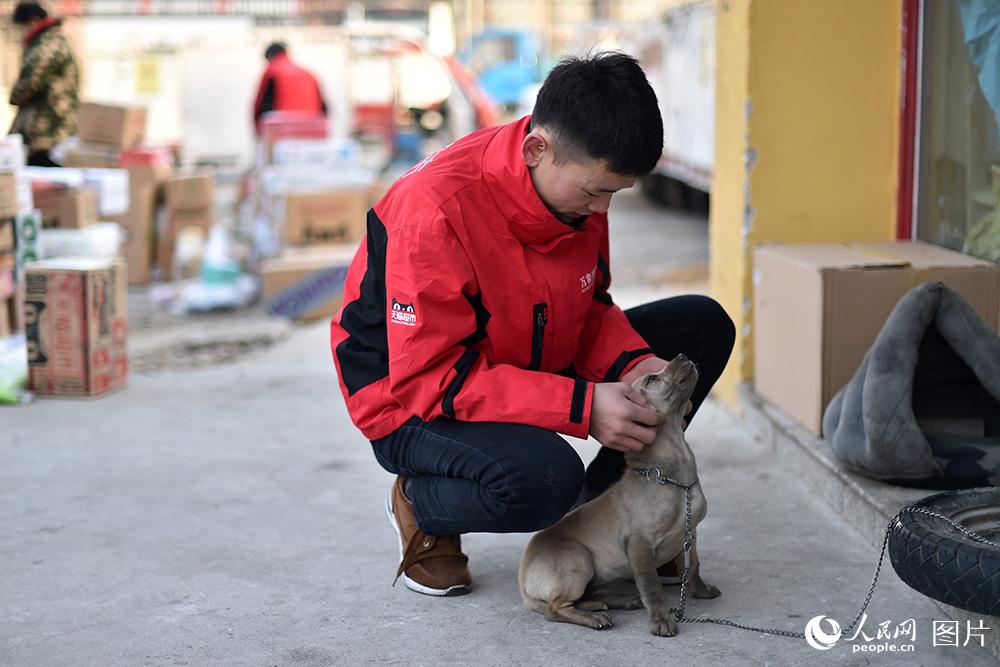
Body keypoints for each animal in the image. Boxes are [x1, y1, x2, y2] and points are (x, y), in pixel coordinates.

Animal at [516, 354, 720, 636]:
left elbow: (693, 568)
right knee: (554, 608)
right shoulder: (639, 543)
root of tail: (523, 580)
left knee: (582, 597)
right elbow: (651, 585)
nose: (682, 356)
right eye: (652, 378)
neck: (672, 479)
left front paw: (701, 591)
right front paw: (660, 619)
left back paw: (611, 602)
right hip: (579, 559)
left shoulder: (689, 534)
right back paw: (594, 617)